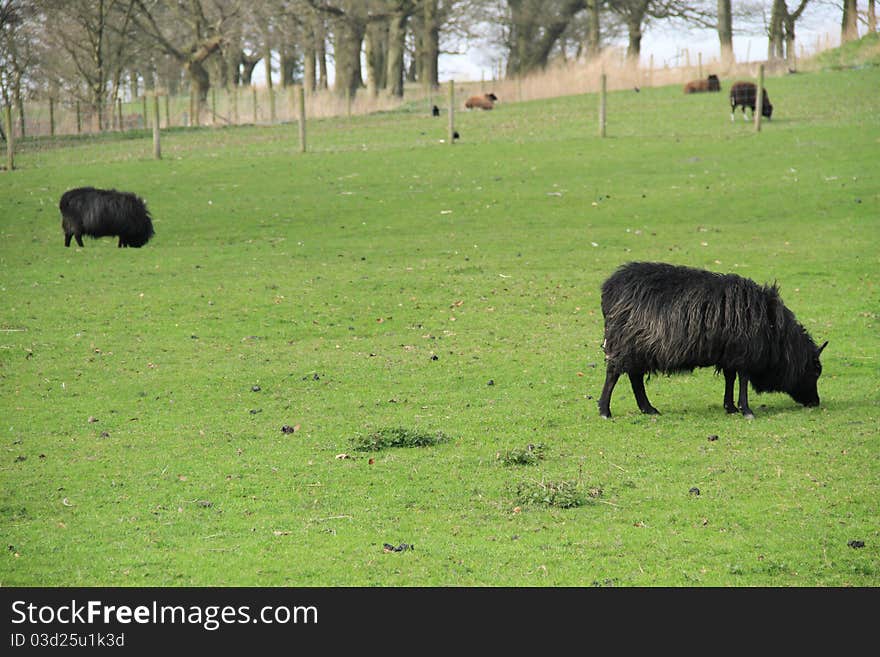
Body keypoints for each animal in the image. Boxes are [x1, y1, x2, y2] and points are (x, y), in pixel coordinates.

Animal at [600, 260, 824, 418]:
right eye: (814, 371)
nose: (815, 402)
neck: (776, 333)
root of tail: (609, 288)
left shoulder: (730, 354)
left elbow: (730, 378)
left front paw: (730, 407)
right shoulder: (744, 353)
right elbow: (742, 380)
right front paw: (746, 410)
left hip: (638, 347)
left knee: (634, 376)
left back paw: (648, 409)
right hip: (624, 342)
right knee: (614, 373)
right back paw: (604, 410)